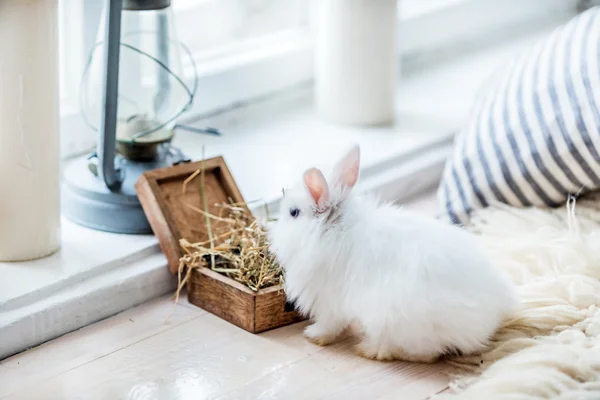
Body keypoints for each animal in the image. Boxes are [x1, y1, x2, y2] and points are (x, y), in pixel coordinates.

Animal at [268, 144, 520, 362]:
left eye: (293, 212)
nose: (272, 235)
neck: (331, 231)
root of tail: (497, 308)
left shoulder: (329, 301)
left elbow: (329, 324)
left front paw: (313, 335)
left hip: (398, 316)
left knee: (427, 353)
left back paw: (372, 350)